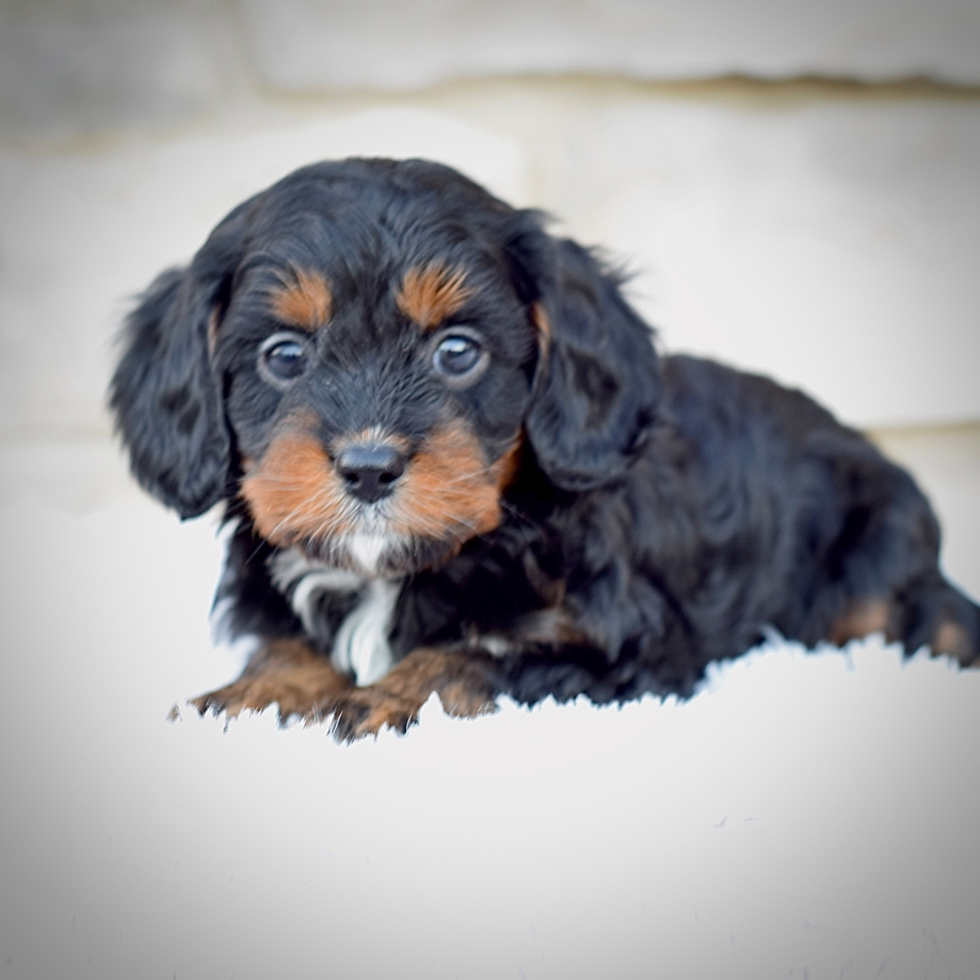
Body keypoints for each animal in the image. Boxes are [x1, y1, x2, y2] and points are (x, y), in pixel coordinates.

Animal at [111, 157, 976, 740]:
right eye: (284, 356)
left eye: (458, 352)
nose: (368, 468)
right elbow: (285, 647)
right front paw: (238, 701)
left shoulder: (621, 654)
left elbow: (473, 660)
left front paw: (378, 700)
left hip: (871, 568)